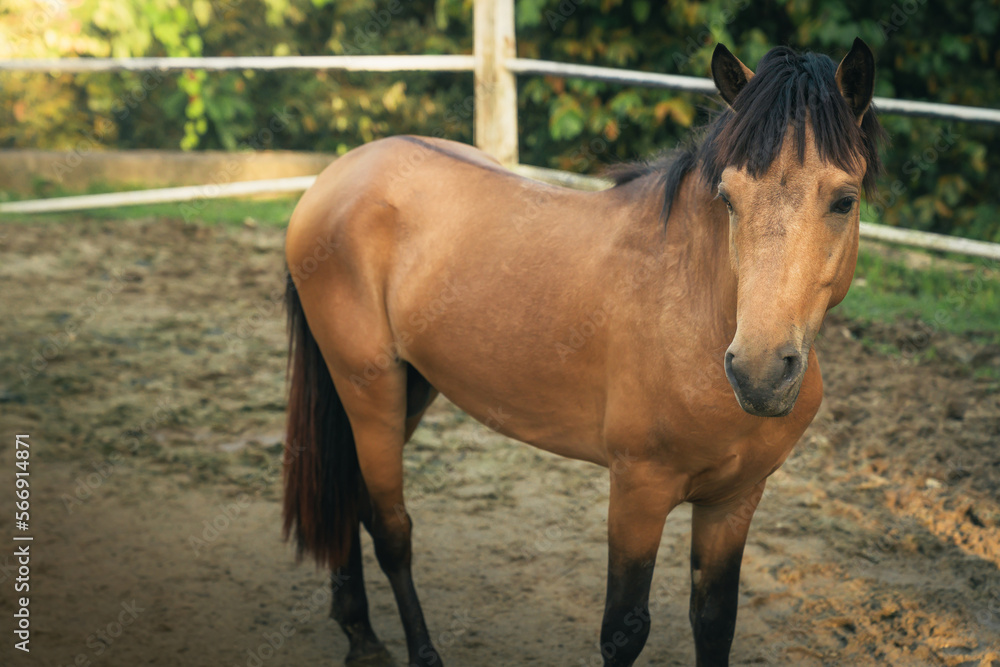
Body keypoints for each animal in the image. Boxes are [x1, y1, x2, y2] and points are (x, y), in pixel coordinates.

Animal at [281, 38, 885, 667]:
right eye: (728, 197)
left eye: (844, 201)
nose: (760, 373)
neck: (694, 308)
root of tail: (339, 176)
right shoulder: (638, 492)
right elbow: (624, 628)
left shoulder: (734, 501)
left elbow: (715, 621)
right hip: (368, 389)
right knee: (390, 526)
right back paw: (415, 650)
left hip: (411, 387)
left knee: (349, 497)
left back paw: (360, 633)